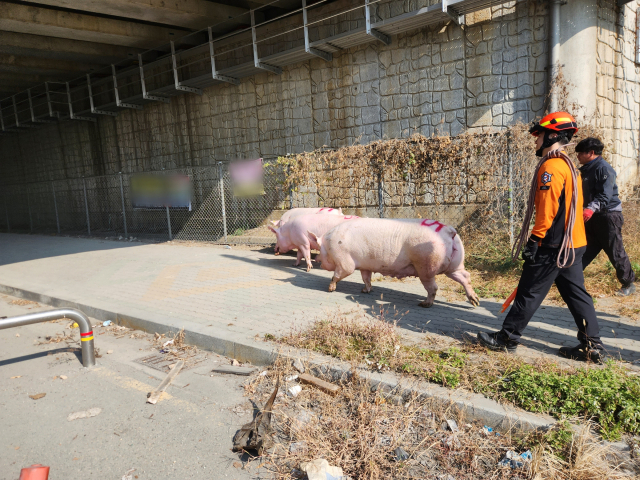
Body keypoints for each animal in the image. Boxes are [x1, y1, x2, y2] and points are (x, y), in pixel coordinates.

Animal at [308, 218, 478, 308]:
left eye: (320, 249)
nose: (318, 261)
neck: (329, 244)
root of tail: (449, 231)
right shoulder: (365, 265)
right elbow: (366, 278)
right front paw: (365, 291)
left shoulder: (345, 261)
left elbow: (339, 274)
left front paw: (329, 289)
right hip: (455, 264)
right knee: (466, 276)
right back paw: (475, 302)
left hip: (426, 266)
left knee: (434, 287)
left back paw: (424, 304)